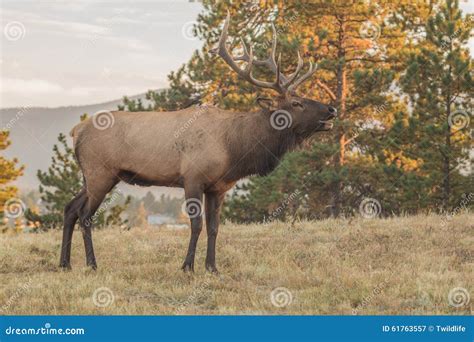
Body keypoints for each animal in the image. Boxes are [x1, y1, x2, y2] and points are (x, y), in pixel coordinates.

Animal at [60, 14, 336, 274]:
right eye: (297, 103)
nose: (332, 109)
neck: (234, 149)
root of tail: (76, 130)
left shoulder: (219, 187)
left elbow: (214, 228)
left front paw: (212, 267)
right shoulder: (192, 177)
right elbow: (196, 225)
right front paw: (187, 266)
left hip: (95, 176)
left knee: (70, 207)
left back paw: (65, 263)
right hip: (100, 172)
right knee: (85, 215)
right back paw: (91, 264)